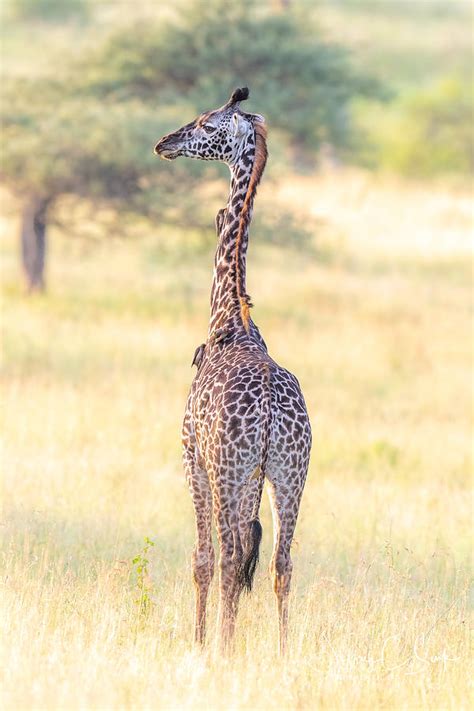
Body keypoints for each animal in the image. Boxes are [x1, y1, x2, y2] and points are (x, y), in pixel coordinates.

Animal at [154, 86, 312, 652]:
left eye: (206, 123)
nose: (164, 142)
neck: (230, 316)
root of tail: (269, 411)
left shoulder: (191, 454)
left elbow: (202, 559)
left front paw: (201, 643)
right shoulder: (256, 475)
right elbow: (250, 556)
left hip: (229, 468)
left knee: (225, 558)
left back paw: (222, 649)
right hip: (289, 471)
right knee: (280, 564)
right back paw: (285, 654)